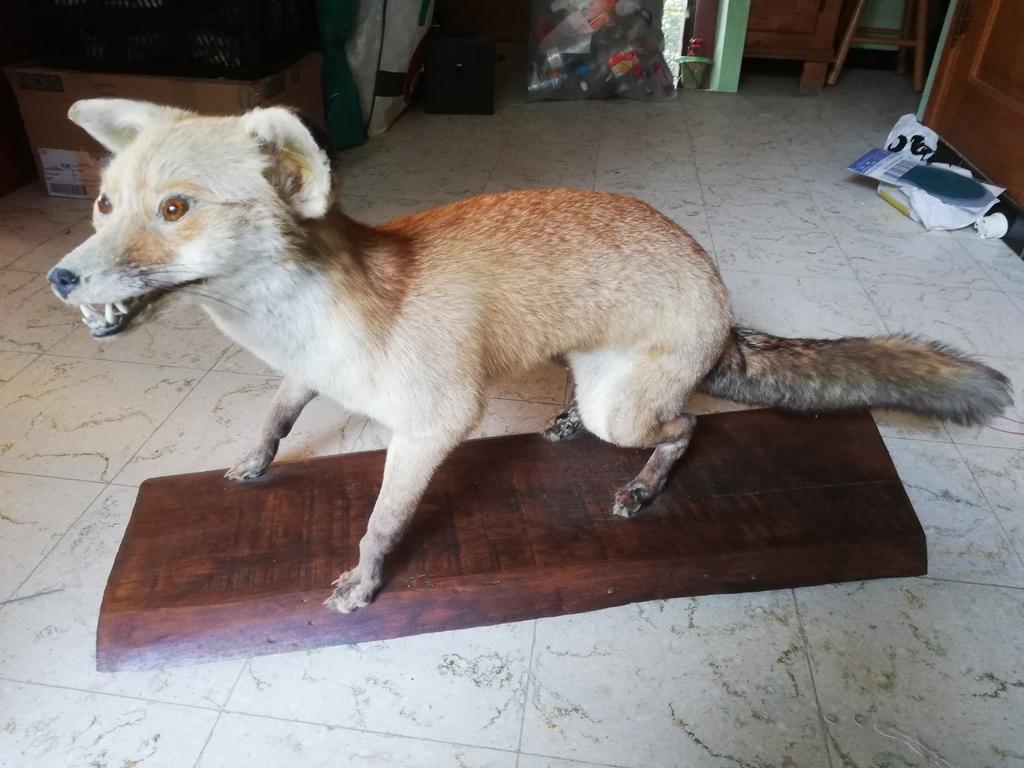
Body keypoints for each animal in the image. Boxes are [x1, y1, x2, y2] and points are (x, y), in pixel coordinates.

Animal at [47, 99, 1012, 613]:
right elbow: (275, 418)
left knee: (689, 429)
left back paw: (644, 486)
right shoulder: (308, 377)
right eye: (103, 203)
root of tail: (722, 304)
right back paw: (563, 427)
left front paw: (363, 582)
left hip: (626, 410)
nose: (61, 278)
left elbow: (381, 520)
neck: (323, 317)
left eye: (175, 209)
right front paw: (253, 464)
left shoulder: (435, 424)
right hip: (590, 377)